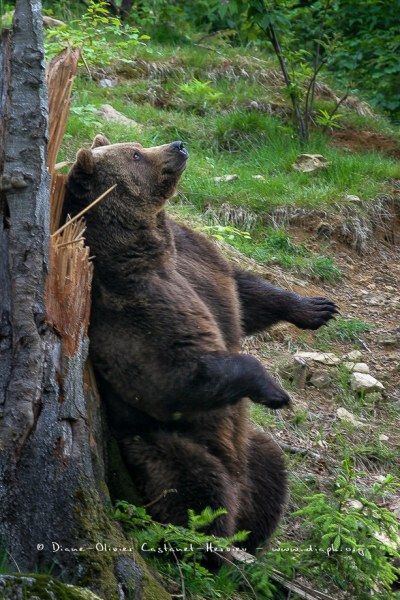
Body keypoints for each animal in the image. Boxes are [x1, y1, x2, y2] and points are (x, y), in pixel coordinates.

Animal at [63, 135, 338, 552]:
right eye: (136, 154)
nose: (176, 145)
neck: (147, 244)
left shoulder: (196, 262)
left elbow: (244, 294)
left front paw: (316, 308)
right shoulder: (129, 305)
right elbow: (178, 375)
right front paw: (275, 391)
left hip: (253, 454)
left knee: (272, 469)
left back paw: (252, 541)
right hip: (163, 448)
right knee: (199, 487)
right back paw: (213, 548)